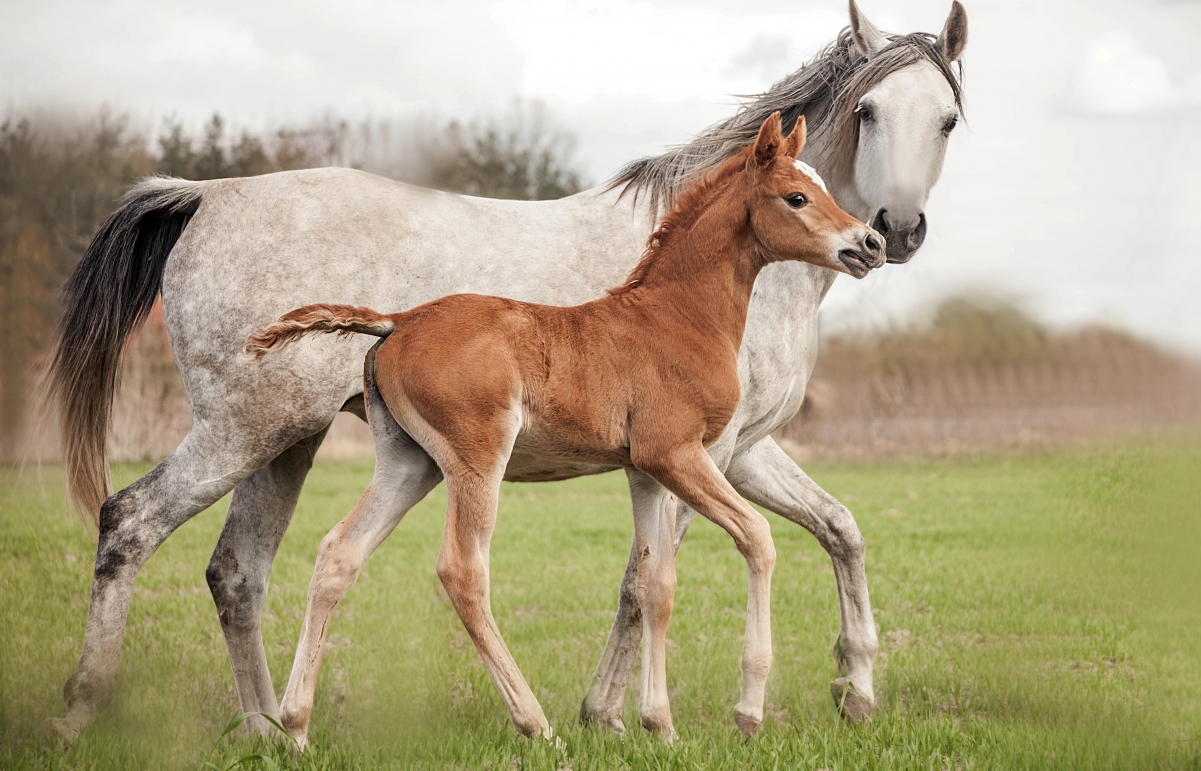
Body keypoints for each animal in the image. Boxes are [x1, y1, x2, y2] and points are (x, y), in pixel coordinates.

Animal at [246, 111, 883, 739]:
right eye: (797, 197)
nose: (870, 242)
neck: (678, 317)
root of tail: (397, 320)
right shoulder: (677, 453)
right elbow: (756, 538)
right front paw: (747, 713)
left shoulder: (646, 472)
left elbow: (656, 584)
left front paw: (658, 725)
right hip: (477, 458)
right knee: (463, 571)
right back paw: (535, 724)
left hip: (410, 463)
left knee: (339, 554)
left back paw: (295, 726)